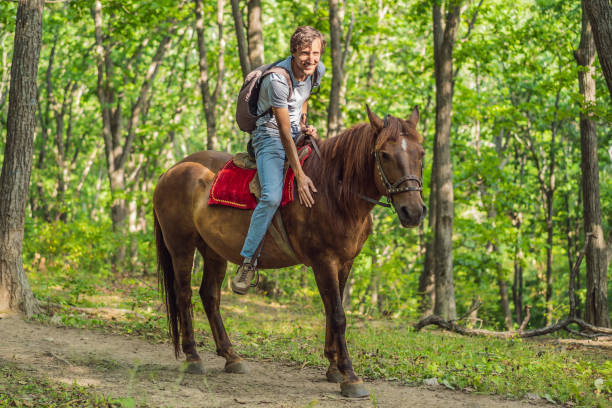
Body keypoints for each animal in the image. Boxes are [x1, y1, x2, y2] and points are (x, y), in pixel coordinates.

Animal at [153, 104, 426, 396]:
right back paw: (193, 357)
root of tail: (171, 170)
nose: (413, 211)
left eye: (421, 154)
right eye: (384, 154)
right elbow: (338, 316)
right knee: (184, 295)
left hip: (214, 250)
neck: (333, 192)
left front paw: (333, 367)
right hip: (181, 245)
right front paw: (350, 376)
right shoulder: (324, 261)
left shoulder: (344, 263)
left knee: (210, 296)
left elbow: (332, 311)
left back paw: (231, 356)